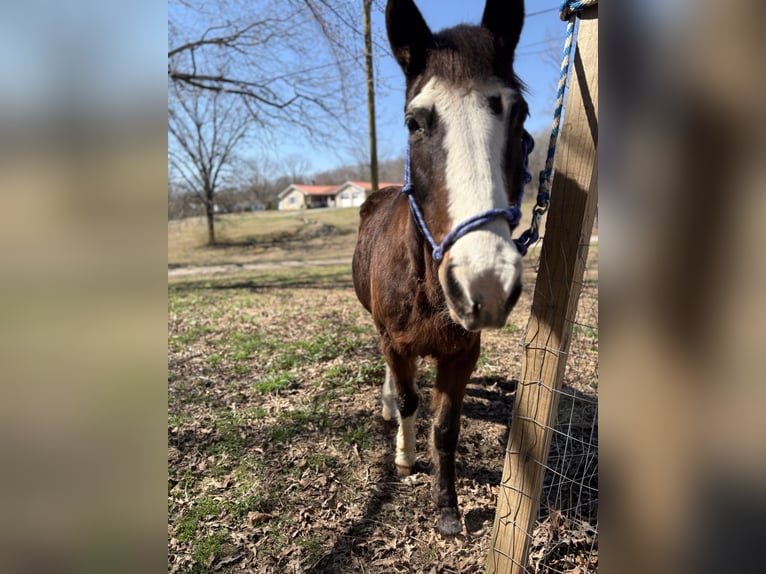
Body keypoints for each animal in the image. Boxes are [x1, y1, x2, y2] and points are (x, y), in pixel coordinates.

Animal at [352, 0, 528, 536]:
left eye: (520, 113)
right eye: (415, 122)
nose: (485, 283)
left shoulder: (461, 353)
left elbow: (447, 427)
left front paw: (447, 506)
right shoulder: (393, 341)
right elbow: (411, 401)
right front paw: (405, 458)